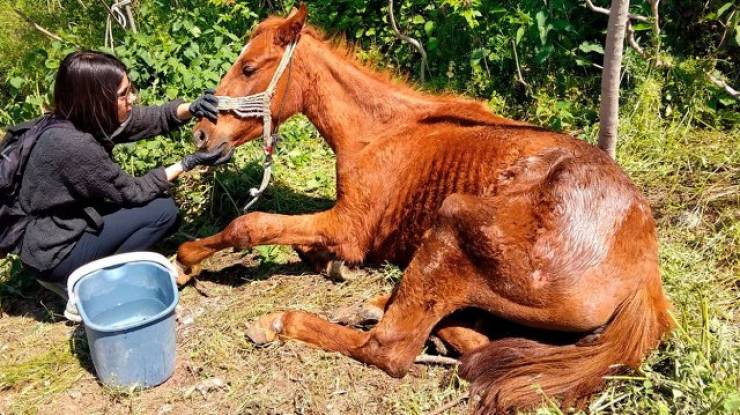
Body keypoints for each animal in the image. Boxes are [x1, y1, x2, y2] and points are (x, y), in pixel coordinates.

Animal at [176, 5, 672, 412]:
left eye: (249, 67)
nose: (201, 135)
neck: (380, 132)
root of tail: (644, 275)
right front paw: (332, 265)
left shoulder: (350, 226)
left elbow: (251, 224)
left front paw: (185, 260)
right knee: (473, 340)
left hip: (452, 219)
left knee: (388, 348)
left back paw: (285, 321)